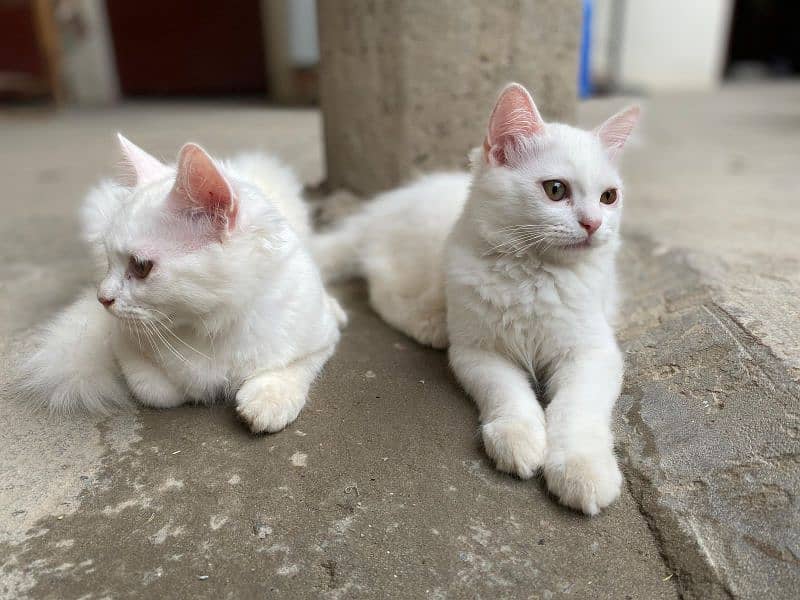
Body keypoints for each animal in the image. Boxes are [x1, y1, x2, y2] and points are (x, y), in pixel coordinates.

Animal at [22, 134, 344, 434]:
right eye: (109, 258)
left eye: (140, 267)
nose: (102, 298)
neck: (211, 326)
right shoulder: (121, 341)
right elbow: (157, 390)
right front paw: (194, 390)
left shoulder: (319, 338)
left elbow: (291, 367)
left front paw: (267, 400)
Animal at [316, 83, 640, 516]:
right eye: (555, 190)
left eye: (608, 197)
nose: (594, 224)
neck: (534, 275)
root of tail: (382, 208)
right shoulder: (478, 352)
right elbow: (508, 394)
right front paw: (519, 438)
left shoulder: (593, 353)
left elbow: (575, 411)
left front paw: (581, 469)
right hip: (417, 262)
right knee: (380, 289)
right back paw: (429, 324)